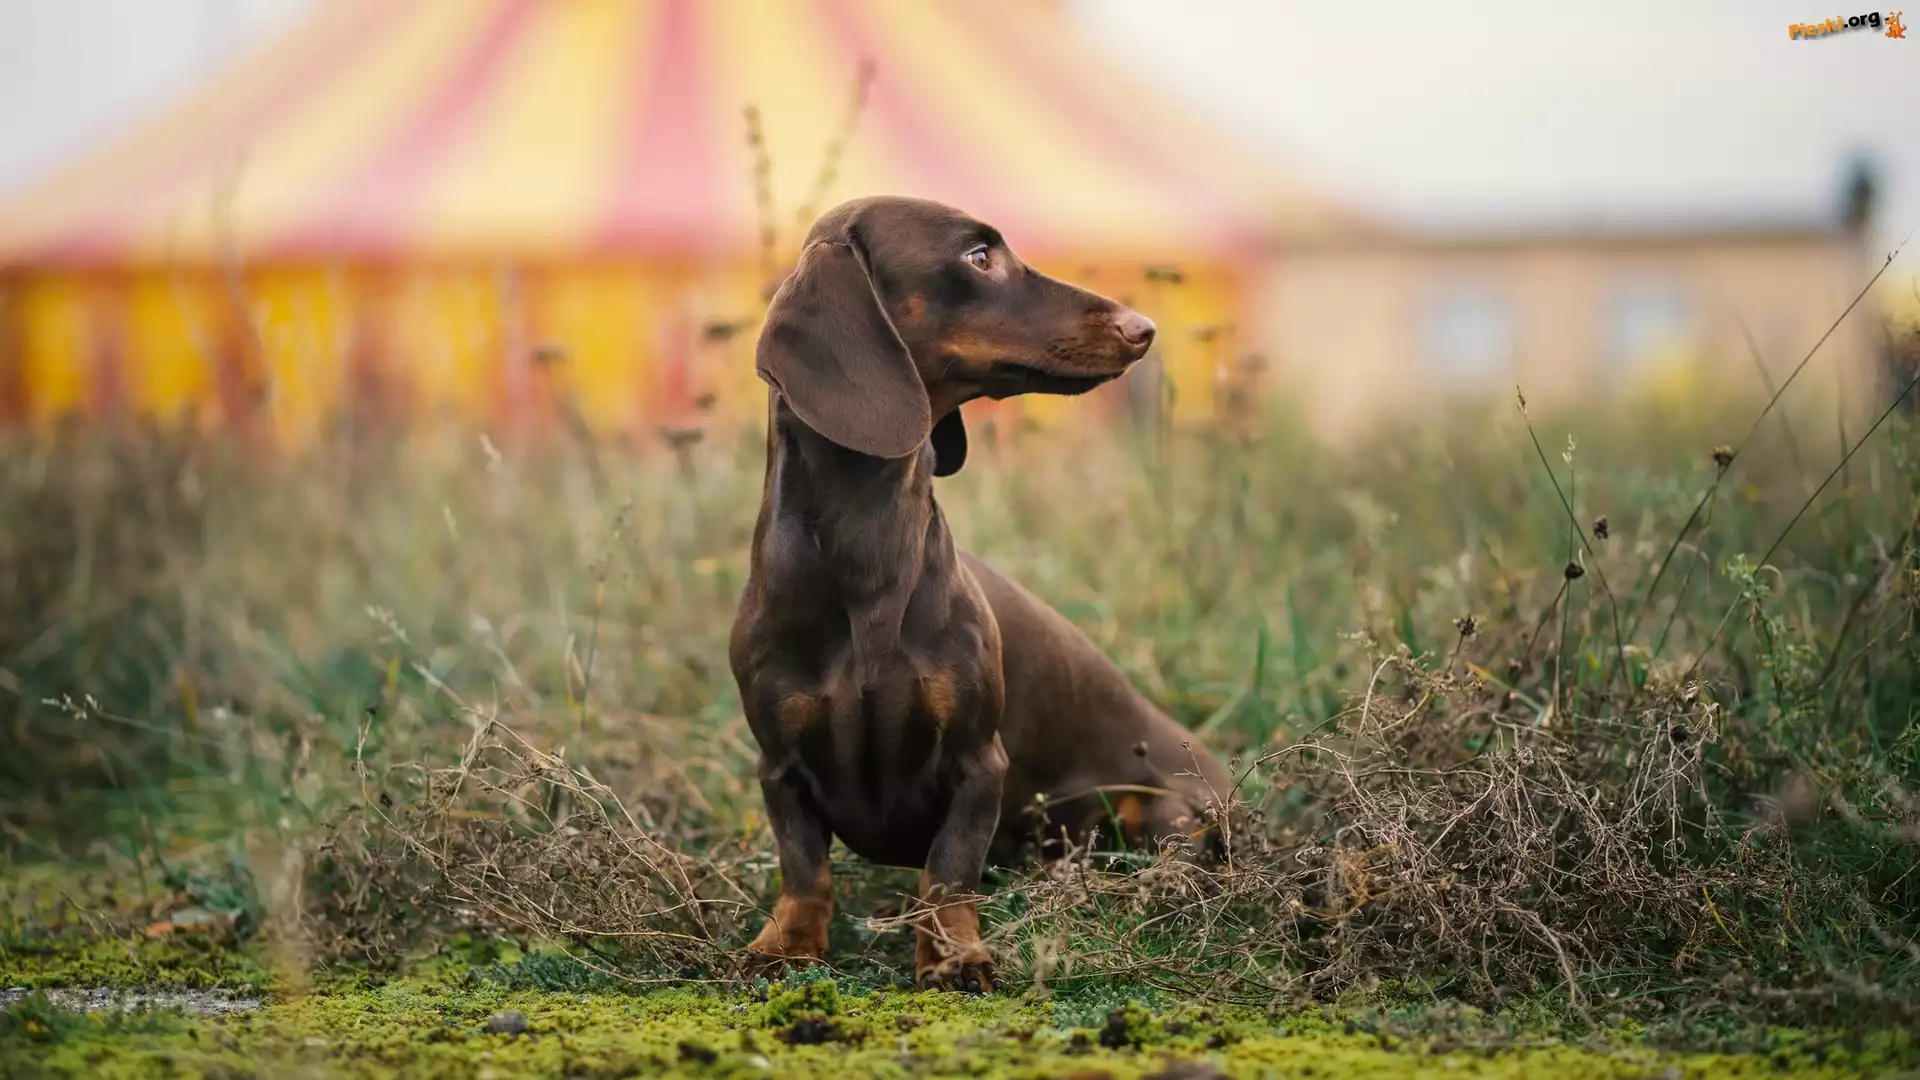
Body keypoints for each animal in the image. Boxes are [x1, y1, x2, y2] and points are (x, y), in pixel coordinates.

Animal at [729, 195, 1232, 993]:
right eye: (977, 256)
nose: (1143, 327)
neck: (867, 555)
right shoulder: (779, 764)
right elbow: (804, 868)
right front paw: (787, 944)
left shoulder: (977, 763)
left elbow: (949, 870)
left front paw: (953, 954)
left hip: (1163, 813)